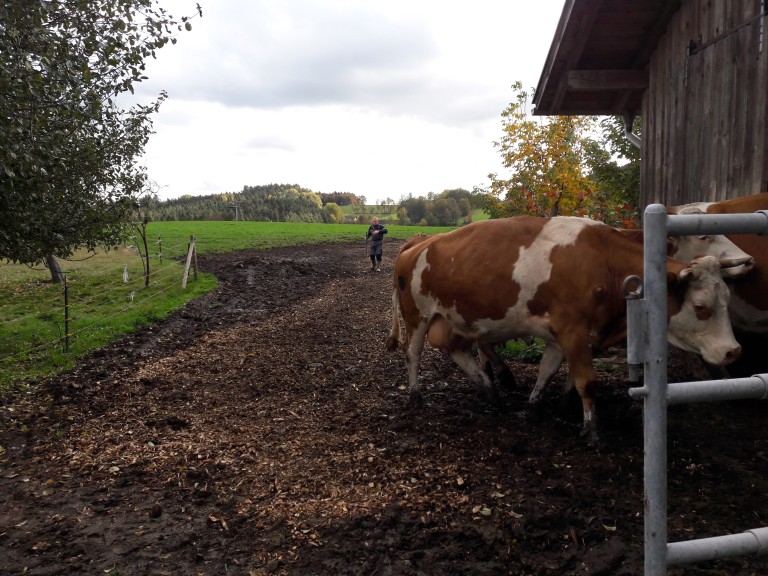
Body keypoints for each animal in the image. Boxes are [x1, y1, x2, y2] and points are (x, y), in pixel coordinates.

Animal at [388, 218, 748, 444]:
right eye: (701, 306)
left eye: (727, 300)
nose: (733, 351)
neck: (603, 262)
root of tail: (417, 245)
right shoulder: (573, 330)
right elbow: (587, 381)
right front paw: (592, 431)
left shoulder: (564, 335)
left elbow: (548, 372)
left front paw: (535, 407)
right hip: (418, 316)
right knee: (413, 353)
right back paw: (416, 394)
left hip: (455, 319)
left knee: (458, 350)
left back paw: (491, 390)